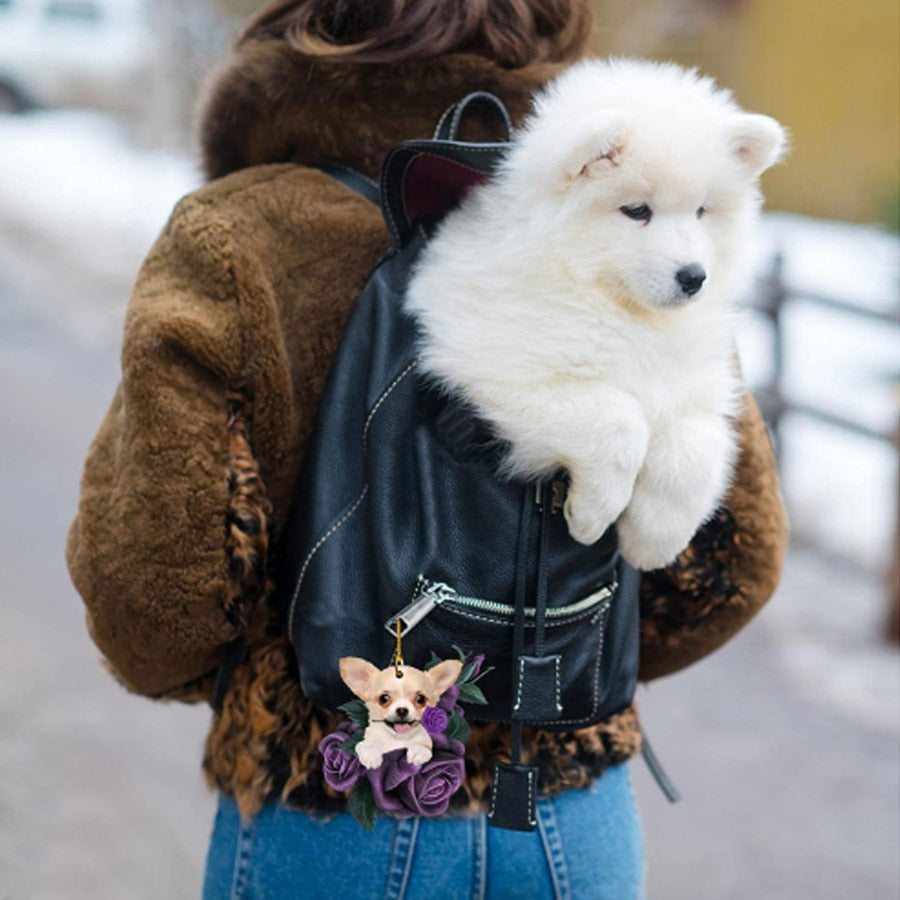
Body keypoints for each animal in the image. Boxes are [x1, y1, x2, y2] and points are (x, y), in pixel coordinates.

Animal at [404, 58, 784, 568]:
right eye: (637, 210)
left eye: (702, 211)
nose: (693, 277)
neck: (621, 310)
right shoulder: (495, 367)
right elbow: (618, 418)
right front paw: (591, 516)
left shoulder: (698, 383)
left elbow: (696, 445)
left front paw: (653, 540)